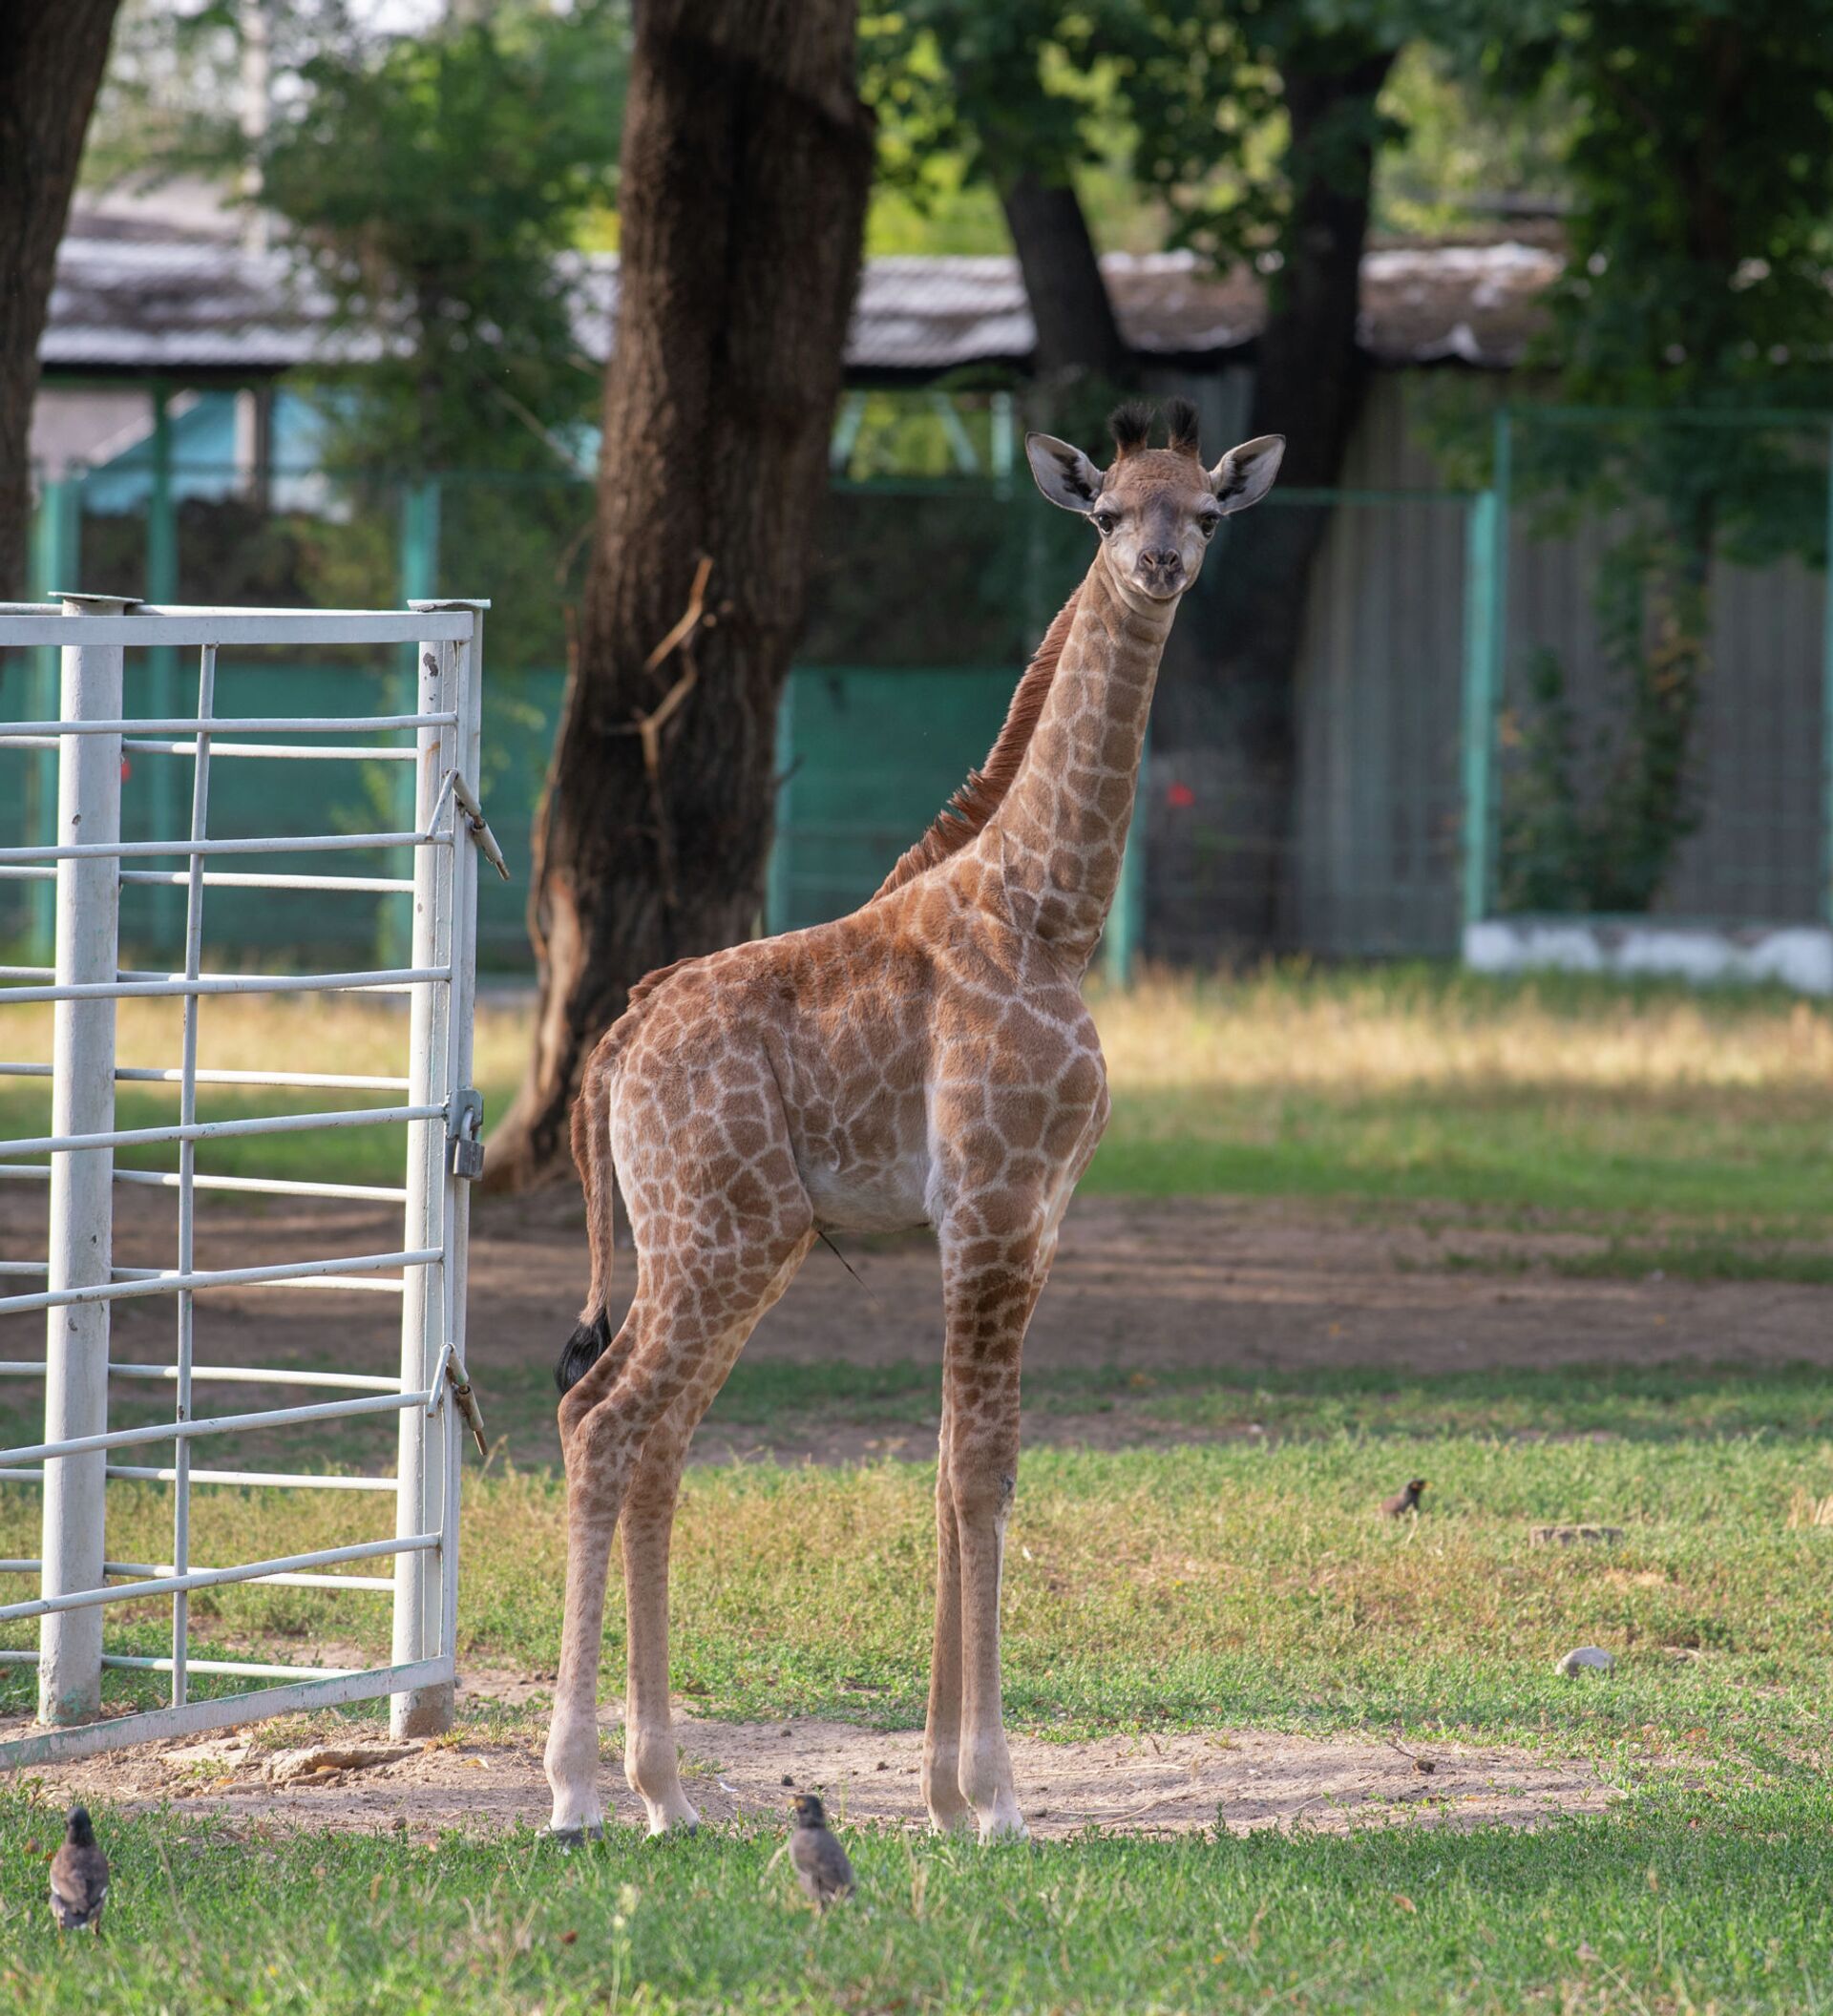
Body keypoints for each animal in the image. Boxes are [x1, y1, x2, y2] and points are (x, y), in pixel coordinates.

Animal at [552, 392, 1282, 1846]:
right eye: (1106, 511)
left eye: (1207, 512)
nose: (1159, 568)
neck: (1048, 913)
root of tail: (612, 1048)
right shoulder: (991, 1206)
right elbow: (982, 1468)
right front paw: (995, 1799)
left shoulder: (1033, 1218)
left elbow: (953, 1462)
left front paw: (947, 1796)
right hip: (716, 1239)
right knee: (604, 1425)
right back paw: (572, 1795)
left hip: (730, 1245)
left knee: (652, 1443)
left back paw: (669, 1794)